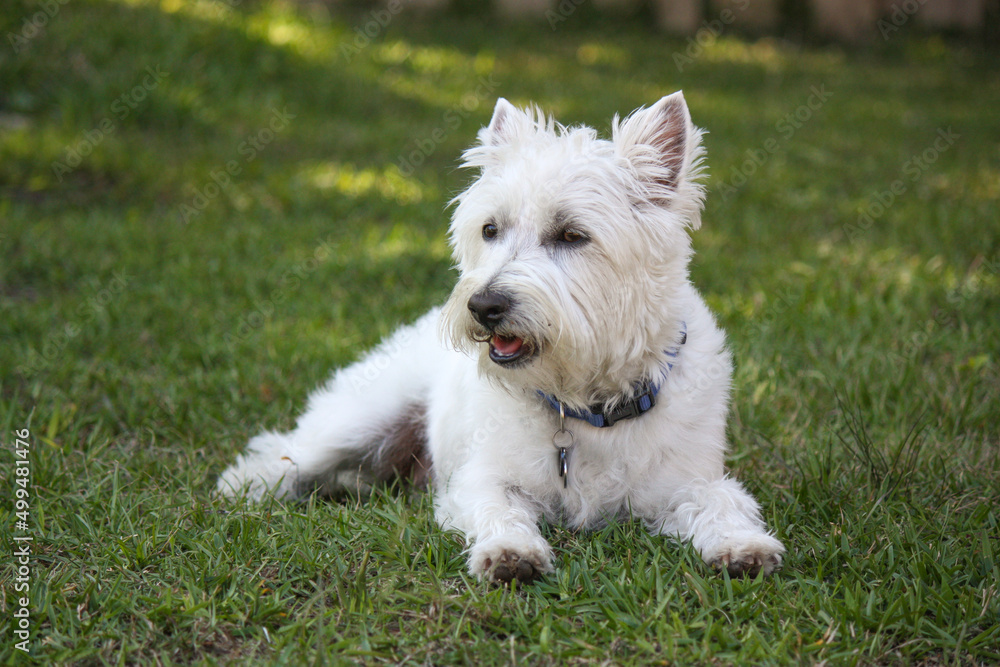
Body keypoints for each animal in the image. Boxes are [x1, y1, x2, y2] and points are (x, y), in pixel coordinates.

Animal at [215, 92, 784, 584]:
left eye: (572, 235)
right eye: (490, 229)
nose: (483, 307)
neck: (585, 404)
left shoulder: (689, 479)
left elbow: (720, 502)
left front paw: (743, 547)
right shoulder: (481, 478)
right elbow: (499, 508)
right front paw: (511, 553)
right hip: (364, 416)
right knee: (287, 449)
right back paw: (246, 486)